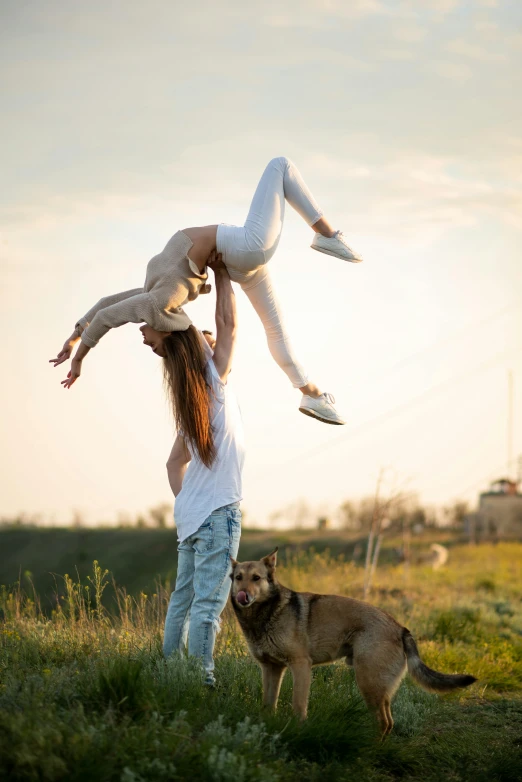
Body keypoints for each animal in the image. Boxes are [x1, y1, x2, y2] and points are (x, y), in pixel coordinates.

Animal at [230, 548, 474, 740]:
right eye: (238, 577)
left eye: (256, 578)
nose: (243, 596)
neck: (265, 614)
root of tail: (400, 628)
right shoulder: (271, 668)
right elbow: (268, 704)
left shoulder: (300, 666)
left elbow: (298, 706)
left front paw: (299, 731)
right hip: (378, 686)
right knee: (388, 722)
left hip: (367, 681)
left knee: (383, 722)